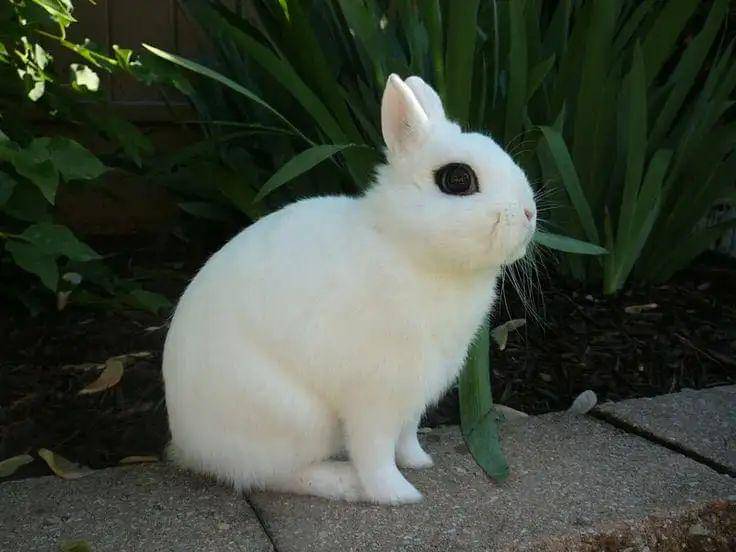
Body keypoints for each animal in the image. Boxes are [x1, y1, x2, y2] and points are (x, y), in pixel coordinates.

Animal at [162, 74, 537, 504]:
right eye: (458, 179)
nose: (530, 214)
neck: (406, 245)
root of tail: (189, 445)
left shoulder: (412, 396)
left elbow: (406, 437)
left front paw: (419, 462)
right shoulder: (372, 397)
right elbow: (374, 453)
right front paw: (398, 495)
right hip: (297, 419)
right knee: (271, 475)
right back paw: (345, 483)